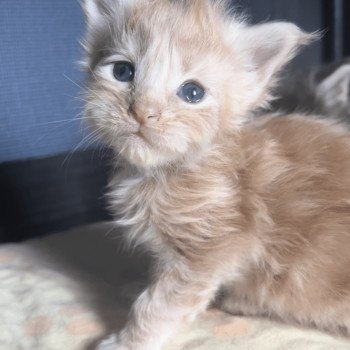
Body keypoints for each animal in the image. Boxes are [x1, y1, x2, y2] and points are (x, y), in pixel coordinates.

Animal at [82, 0, 350, 350]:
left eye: (192, 93)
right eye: (122, 71)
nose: (142, 112)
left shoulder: (210, 250)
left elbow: (158, 304)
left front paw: (127, 341)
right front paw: (134, 287)